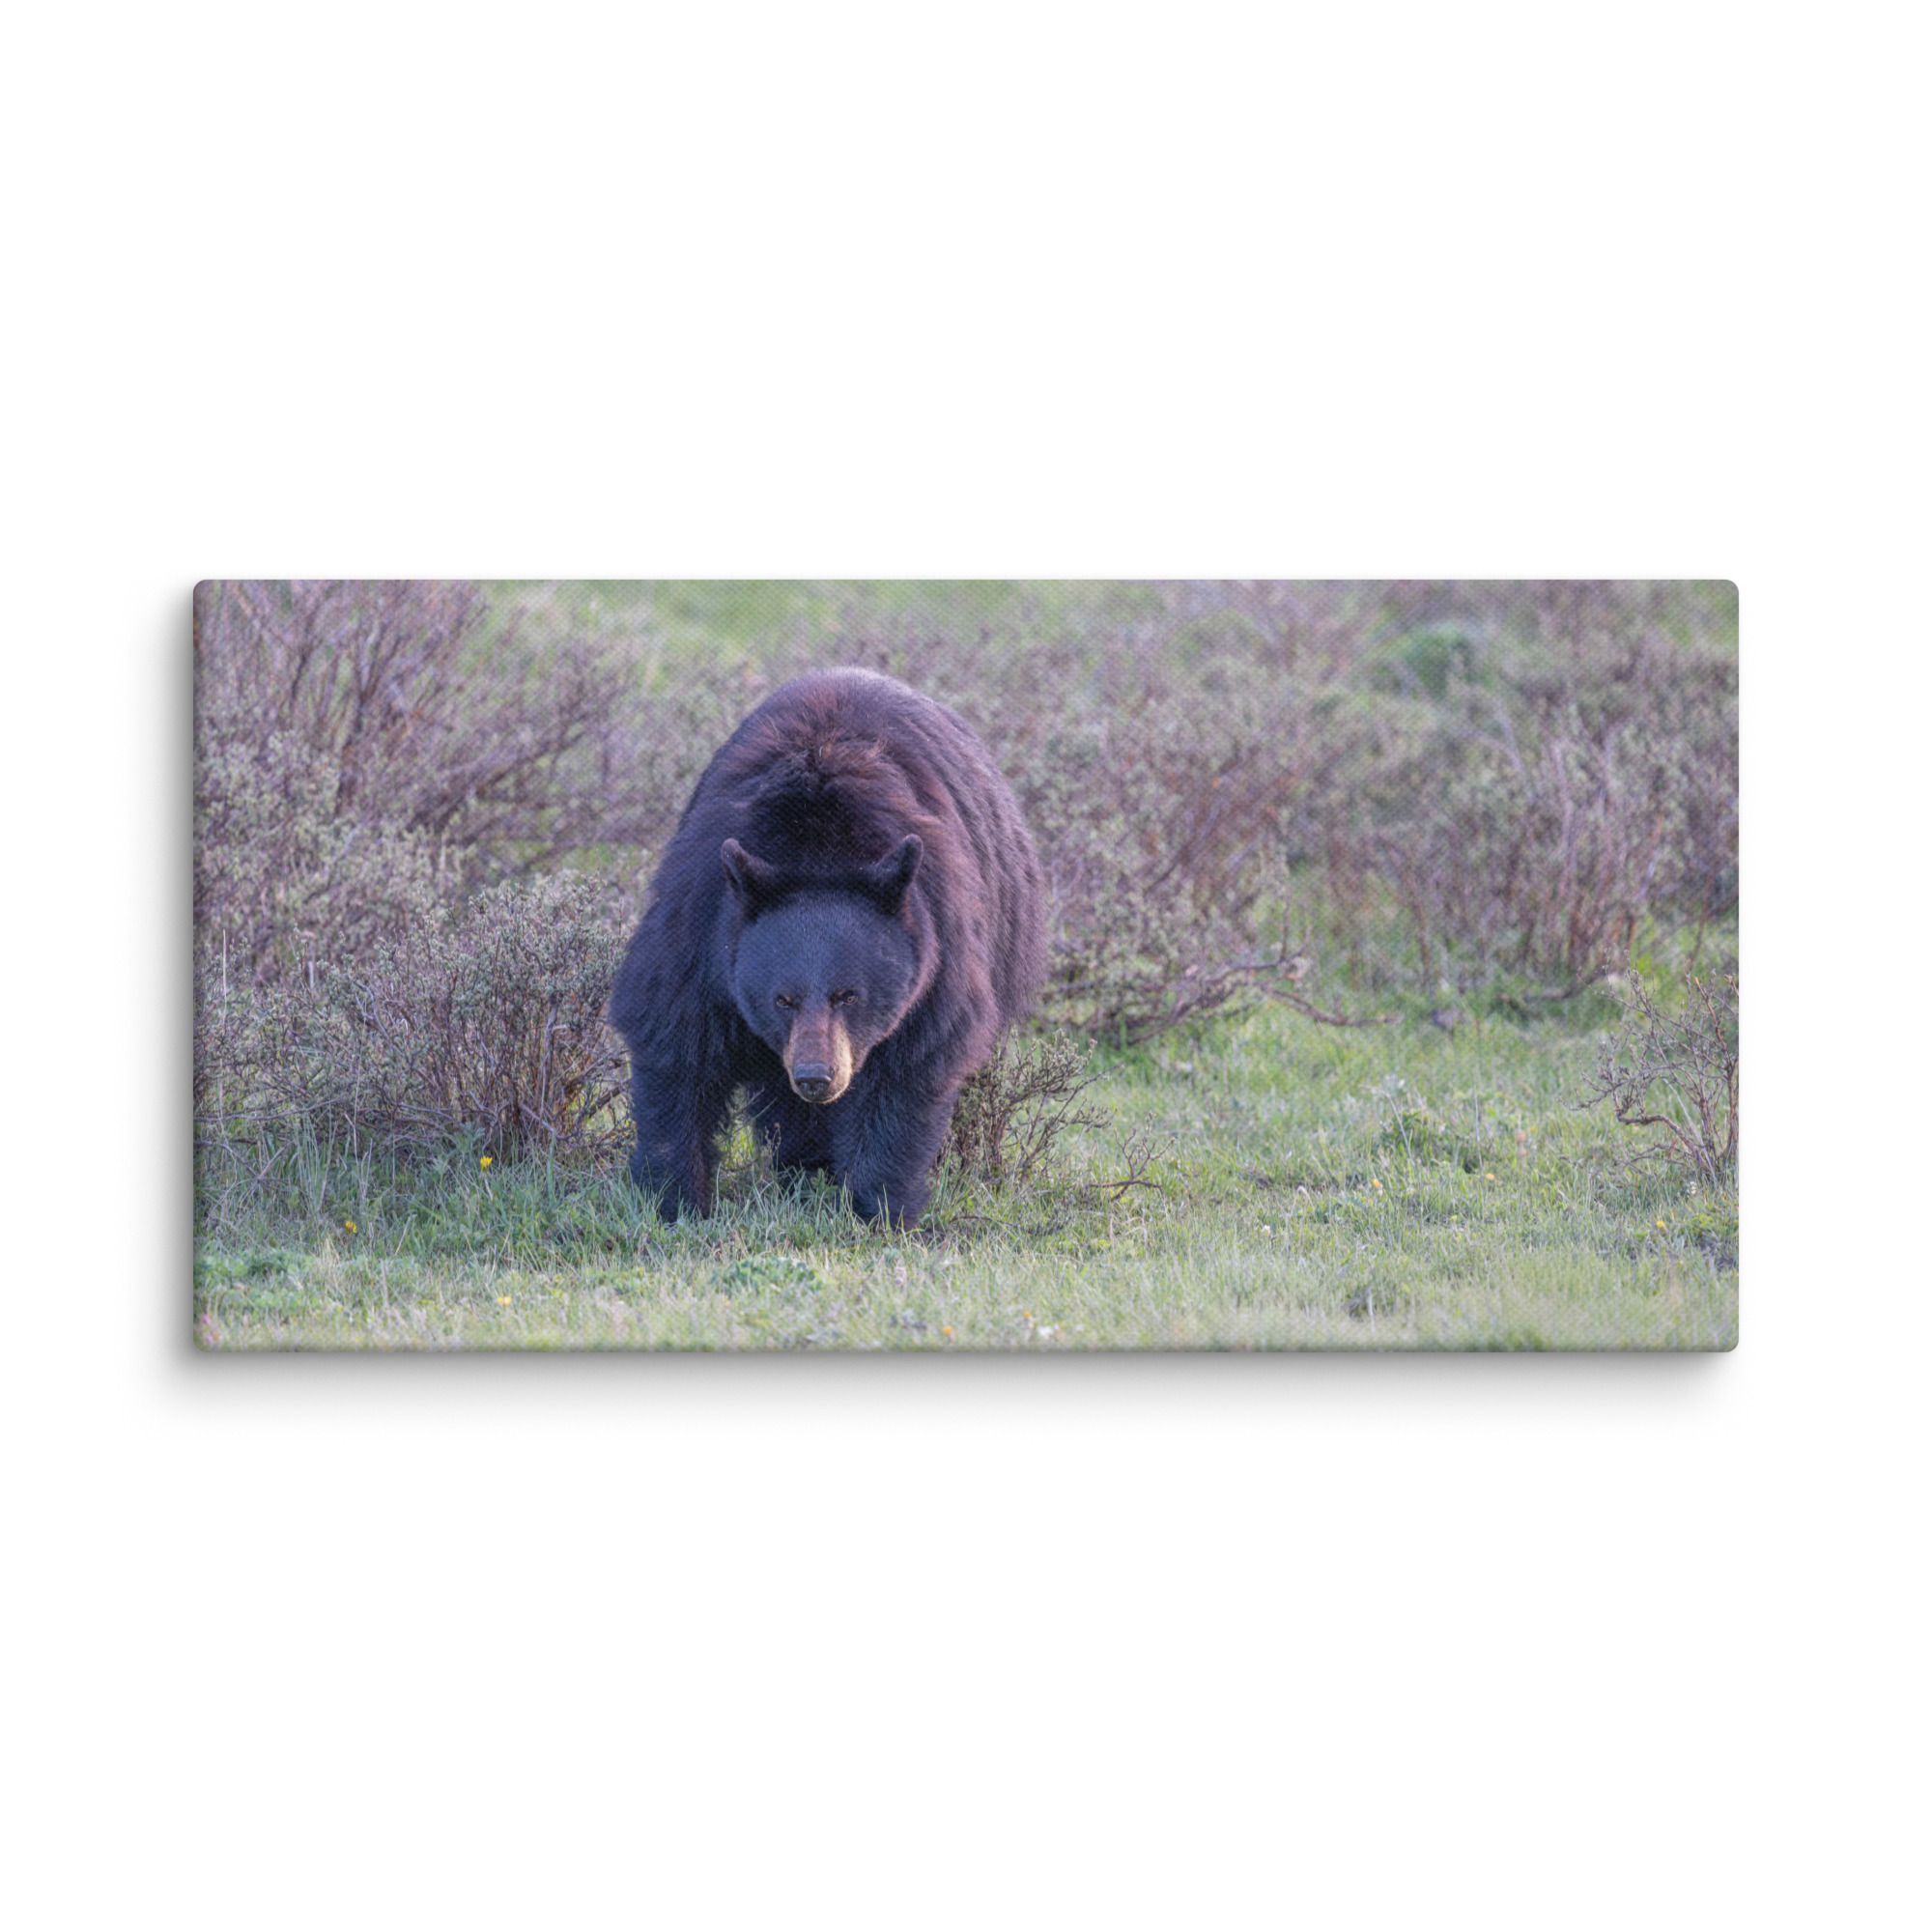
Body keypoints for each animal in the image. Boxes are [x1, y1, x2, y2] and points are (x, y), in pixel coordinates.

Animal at [609, 667, 1047, 1228]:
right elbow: (676, 1041)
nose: (817, 1077)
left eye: (849, 995)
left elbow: (908, 1068)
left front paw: (881, 1208)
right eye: (782, 999)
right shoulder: (702, 922)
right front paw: (674, 1198)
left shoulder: (938, 941)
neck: (818, 847)